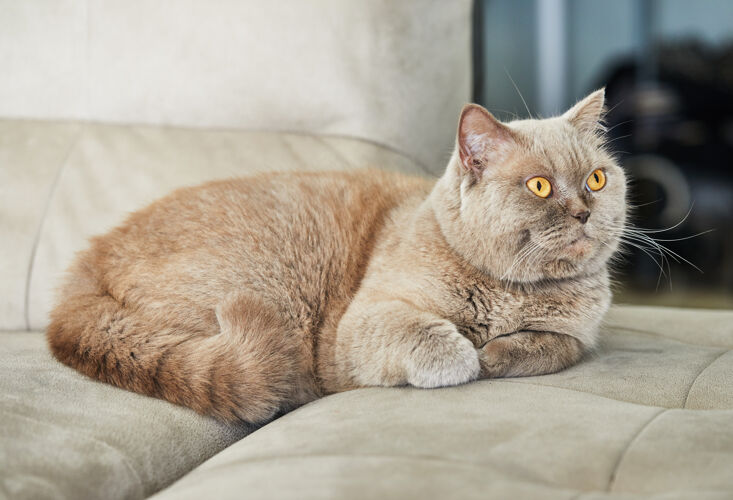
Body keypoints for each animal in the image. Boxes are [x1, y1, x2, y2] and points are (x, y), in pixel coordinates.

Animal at [45, 89, 624, 422]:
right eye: (540, 185)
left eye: (597, 179)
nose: (583, 211)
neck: (513, 292)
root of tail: (83, 268)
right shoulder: (365, 319)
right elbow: (432, 337)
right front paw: (467, 357)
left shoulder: (578, 333)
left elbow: (555, 346)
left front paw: (499, 352)